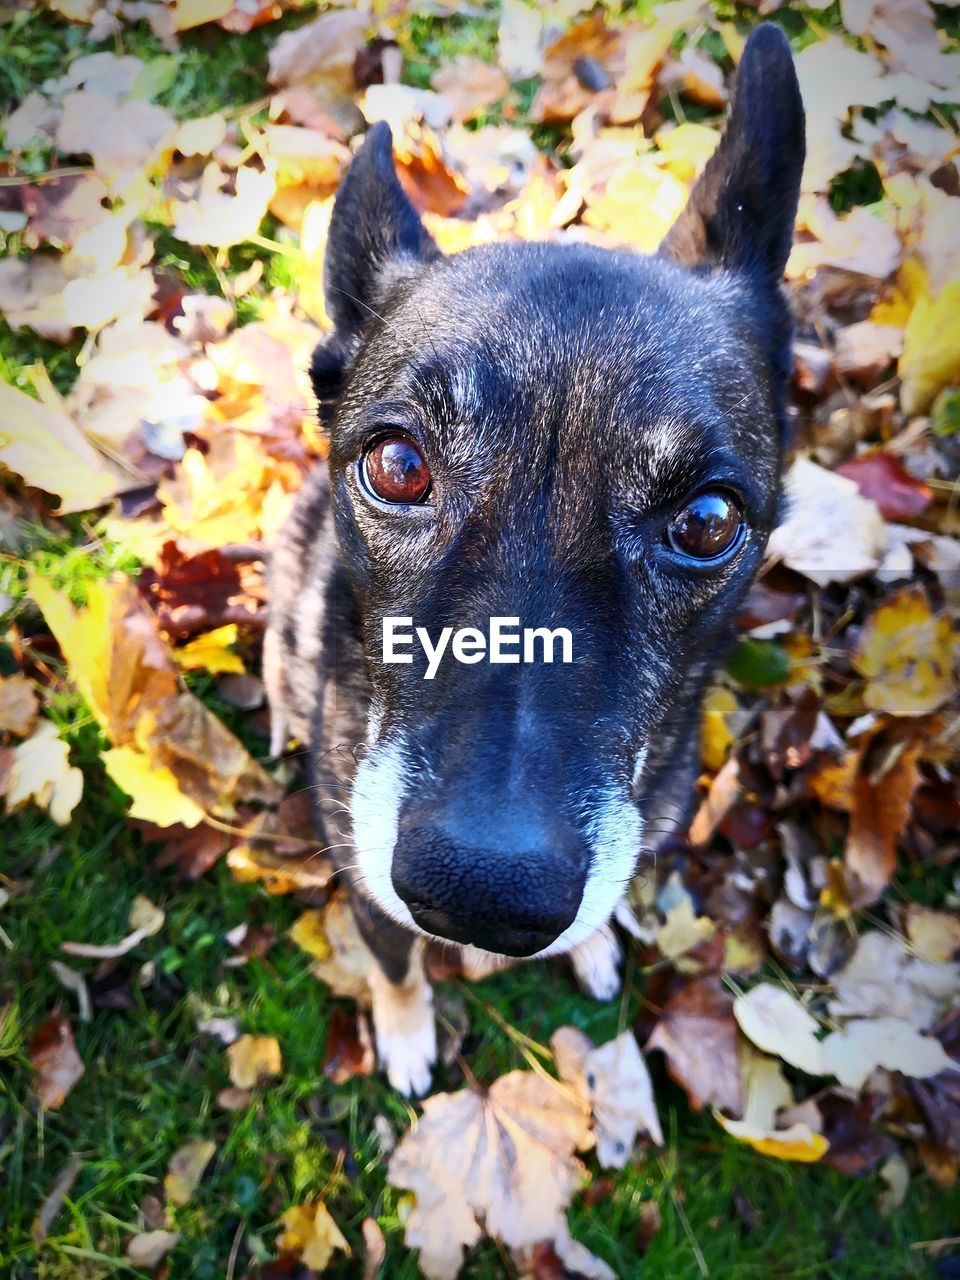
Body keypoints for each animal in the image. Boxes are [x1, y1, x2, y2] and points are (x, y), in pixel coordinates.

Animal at [267, 24, 808, 1095]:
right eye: (397, 465)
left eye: (706, 522)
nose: (484, 892)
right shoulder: (365, 886)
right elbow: (396, 966)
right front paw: (405, 1033)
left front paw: (592, 944)